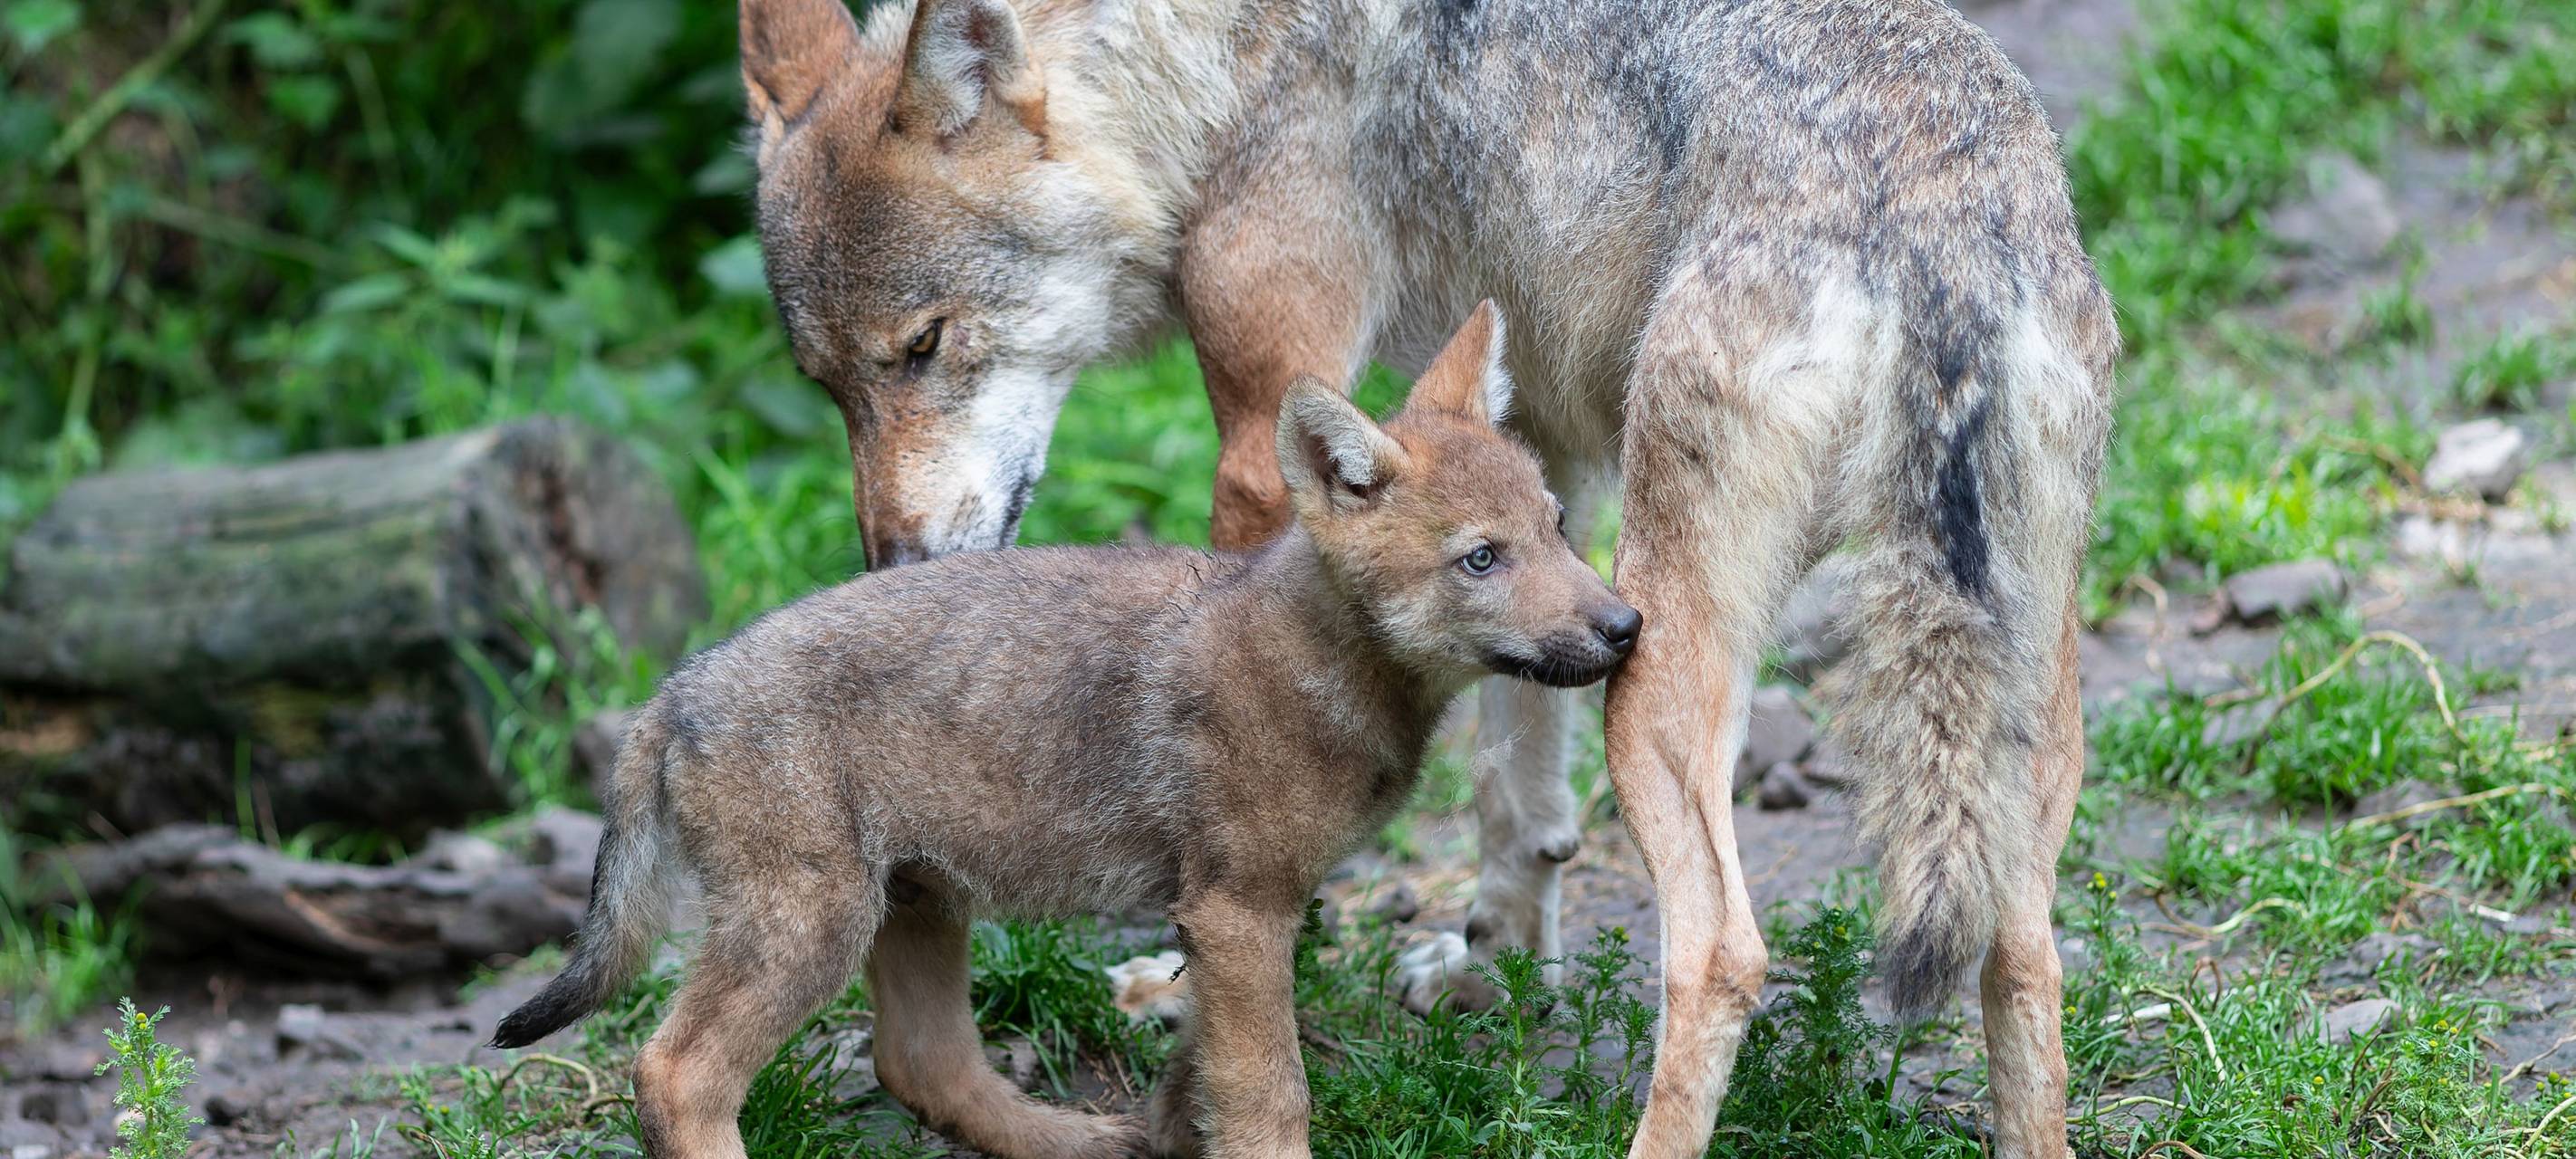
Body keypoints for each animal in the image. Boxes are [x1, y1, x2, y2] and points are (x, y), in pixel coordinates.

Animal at [490, 306, 1642, 1159]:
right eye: (1481, 559)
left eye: (1557, 528)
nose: (1627, 625)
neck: (1319, 658)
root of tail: (674, 692)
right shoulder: (1240, 911)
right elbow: (1271, 1093)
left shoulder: (1219, 921)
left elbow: (1201, 1071)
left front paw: (1171, 1130)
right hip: (810, 925)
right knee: (676, 1070)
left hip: (913, 902)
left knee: (924, 1063)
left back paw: (1074, 1136)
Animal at [737, 0, 2115, 1153]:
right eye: (827, 383)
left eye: (925, 345)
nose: (894, 566)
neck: (1224, 57)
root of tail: (1932, 226)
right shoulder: (1541, 464)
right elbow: (1519, 778)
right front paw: (1496, 972)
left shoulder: (1263, 432)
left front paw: (1185, 989)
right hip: (2012, 724)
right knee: (2023, 953)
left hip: (1670, 672)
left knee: (1725, 949)